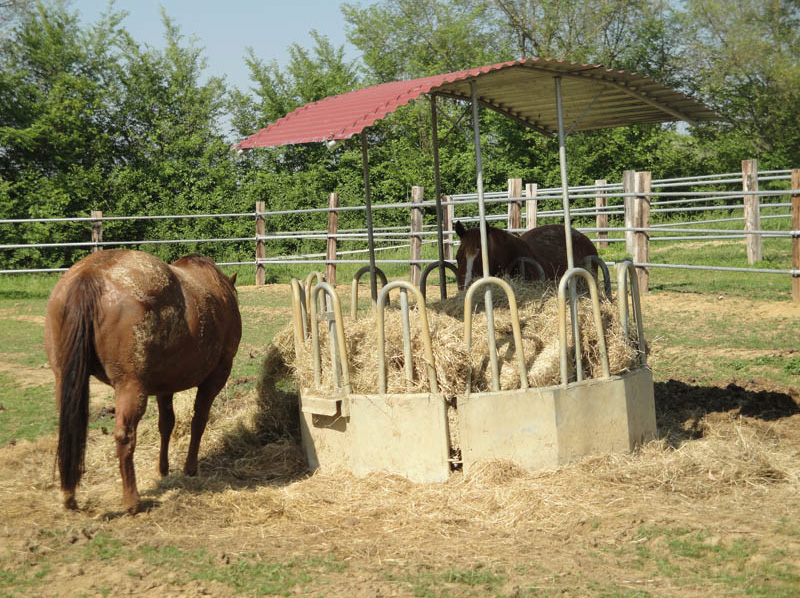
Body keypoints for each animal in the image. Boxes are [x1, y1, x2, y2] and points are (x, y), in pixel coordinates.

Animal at [44, 250, 241, 516]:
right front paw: (190, 468)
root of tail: (89, 275)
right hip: (130, 386)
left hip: (65, 380)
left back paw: (69, 495)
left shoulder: (164, 387)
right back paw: (132, 501)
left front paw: (164, 469)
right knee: (124, 436)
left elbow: (166, 424)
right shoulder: (216, 376)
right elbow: (199, 421)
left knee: (71, 430)